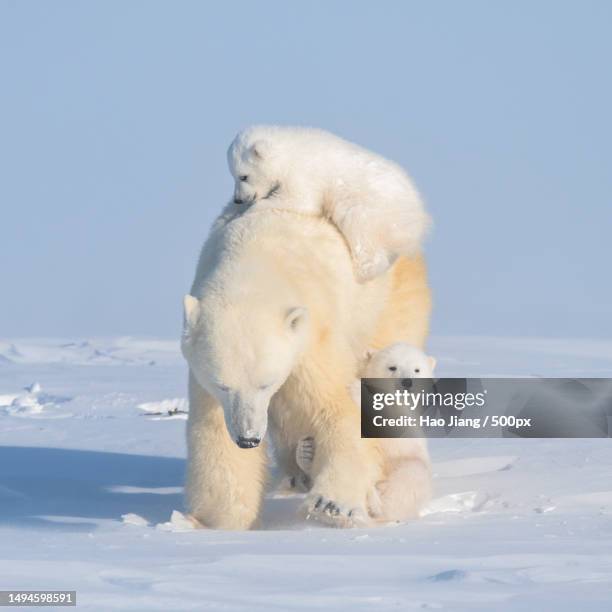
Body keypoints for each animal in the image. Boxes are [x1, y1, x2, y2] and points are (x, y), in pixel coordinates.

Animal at [182, 203, 430, 528]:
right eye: (222, 385)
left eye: (266, 382)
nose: (248, 439)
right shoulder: (205, 379)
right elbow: (214, 429)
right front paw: (216, 520)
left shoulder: (312, 337)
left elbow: (334, 407)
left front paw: (332, 506)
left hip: (385, 300)